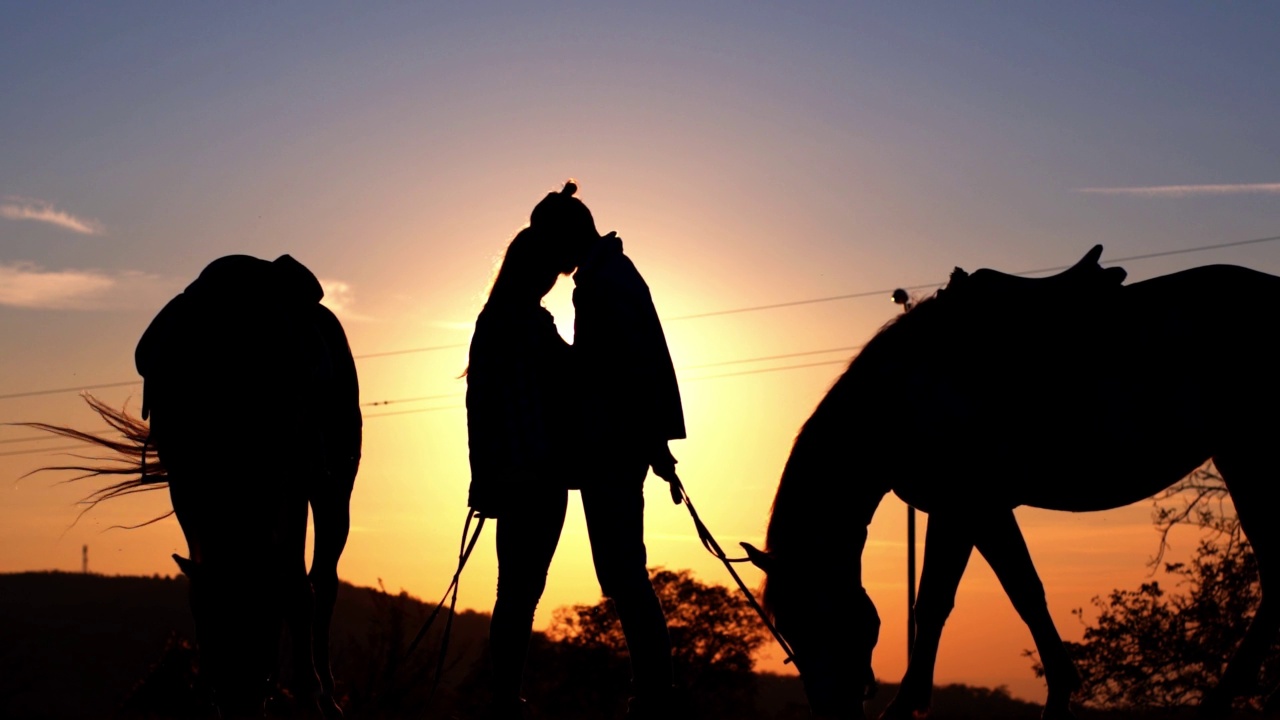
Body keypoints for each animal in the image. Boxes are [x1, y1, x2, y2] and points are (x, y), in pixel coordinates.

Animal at [26, 254, 366, 712]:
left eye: (263, 620)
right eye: (211, 623)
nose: (239, 703)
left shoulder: (292, 477)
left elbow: (298, 585)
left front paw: (309, 691)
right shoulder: (186, 486)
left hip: (334, 487)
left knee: (324, 578)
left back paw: (326, 693)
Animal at [742, 248, 1280, 717]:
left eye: (815, 617)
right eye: (787, 626)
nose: (833, 710)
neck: (906, 394)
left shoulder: (971, 505)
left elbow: (964, 599)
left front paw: (907, 707)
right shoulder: (968, 510)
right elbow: (983, 596)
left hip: (1250, 458)